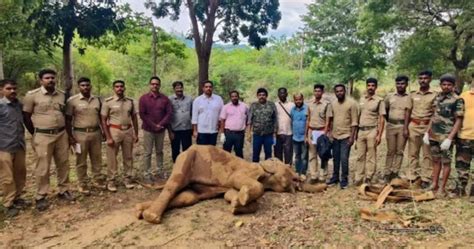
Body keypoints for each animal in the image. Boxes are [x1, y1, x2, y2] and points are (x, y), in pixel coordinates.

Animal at [133, 144, 326, 224]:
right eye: (290, 170)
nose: (298, 179)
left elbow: (229, 194)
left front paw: (236, 204)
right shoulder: (246, 171)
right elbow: (241, 182)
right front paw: (242, 200)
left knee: (188, 197)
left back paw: (139, 210)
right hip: (186, 158)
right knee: (175, 184)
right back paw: (150, 216)